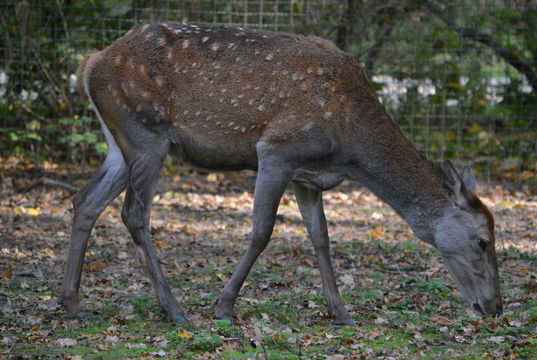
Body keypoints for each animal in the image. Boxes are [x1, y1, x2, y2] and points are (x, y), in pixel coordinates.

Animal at [62, 21, 502, 326]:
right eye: (483, 241)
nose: (495, 307)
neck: (349, 150)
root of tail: (88, 65)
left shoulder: (308, 178)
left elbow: (321, 238)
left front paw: (340, 312)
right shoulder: (277, 151)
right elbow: (262, 231)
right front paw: (225, 306)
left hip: (120, 144)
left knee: (85, 200)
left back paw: (71, 302)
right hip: (146, 135)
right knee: (133, 213)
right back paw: (173, 309)